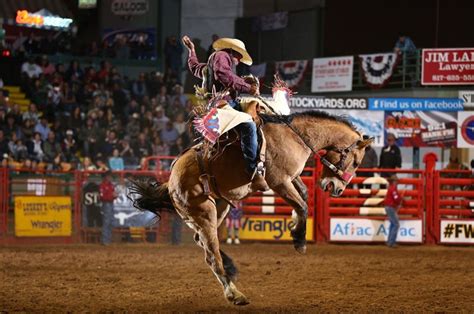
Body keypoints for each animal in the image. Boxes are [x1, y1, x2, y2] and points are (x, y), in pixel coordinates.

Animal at [131, 110, 374, 304]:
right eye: (356, 162)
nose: (337, 190)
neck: (296, 137)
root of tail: (171, 179)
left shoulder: (292, 178)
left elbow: (303, 197)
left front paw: (295, 226)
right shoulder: (280, 182)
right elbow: (302, 205)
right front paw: (299, 239)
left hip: (220, 207)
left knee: (203, 243)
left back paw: (230, 269)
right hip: (203, 212)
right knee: (211, 254)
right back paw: (234, 294)